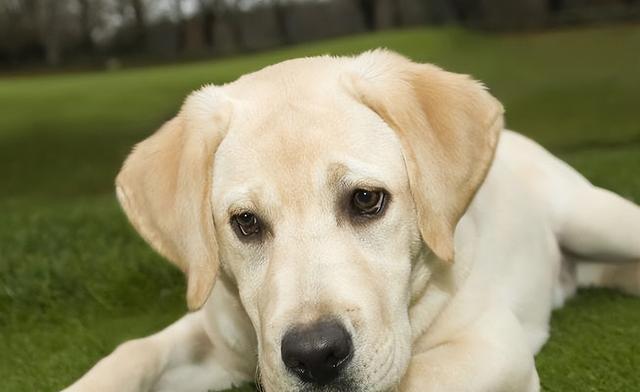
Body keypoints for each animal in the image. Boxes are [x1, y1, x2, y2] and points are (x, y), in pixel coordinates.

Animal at [63, 50, 640, 390]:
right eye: (245, 223)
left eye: (366, 200)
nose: (315, 356)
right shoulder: (215, 334)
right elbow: (134, 351)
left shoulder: (493, 346)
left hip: (596, 218)